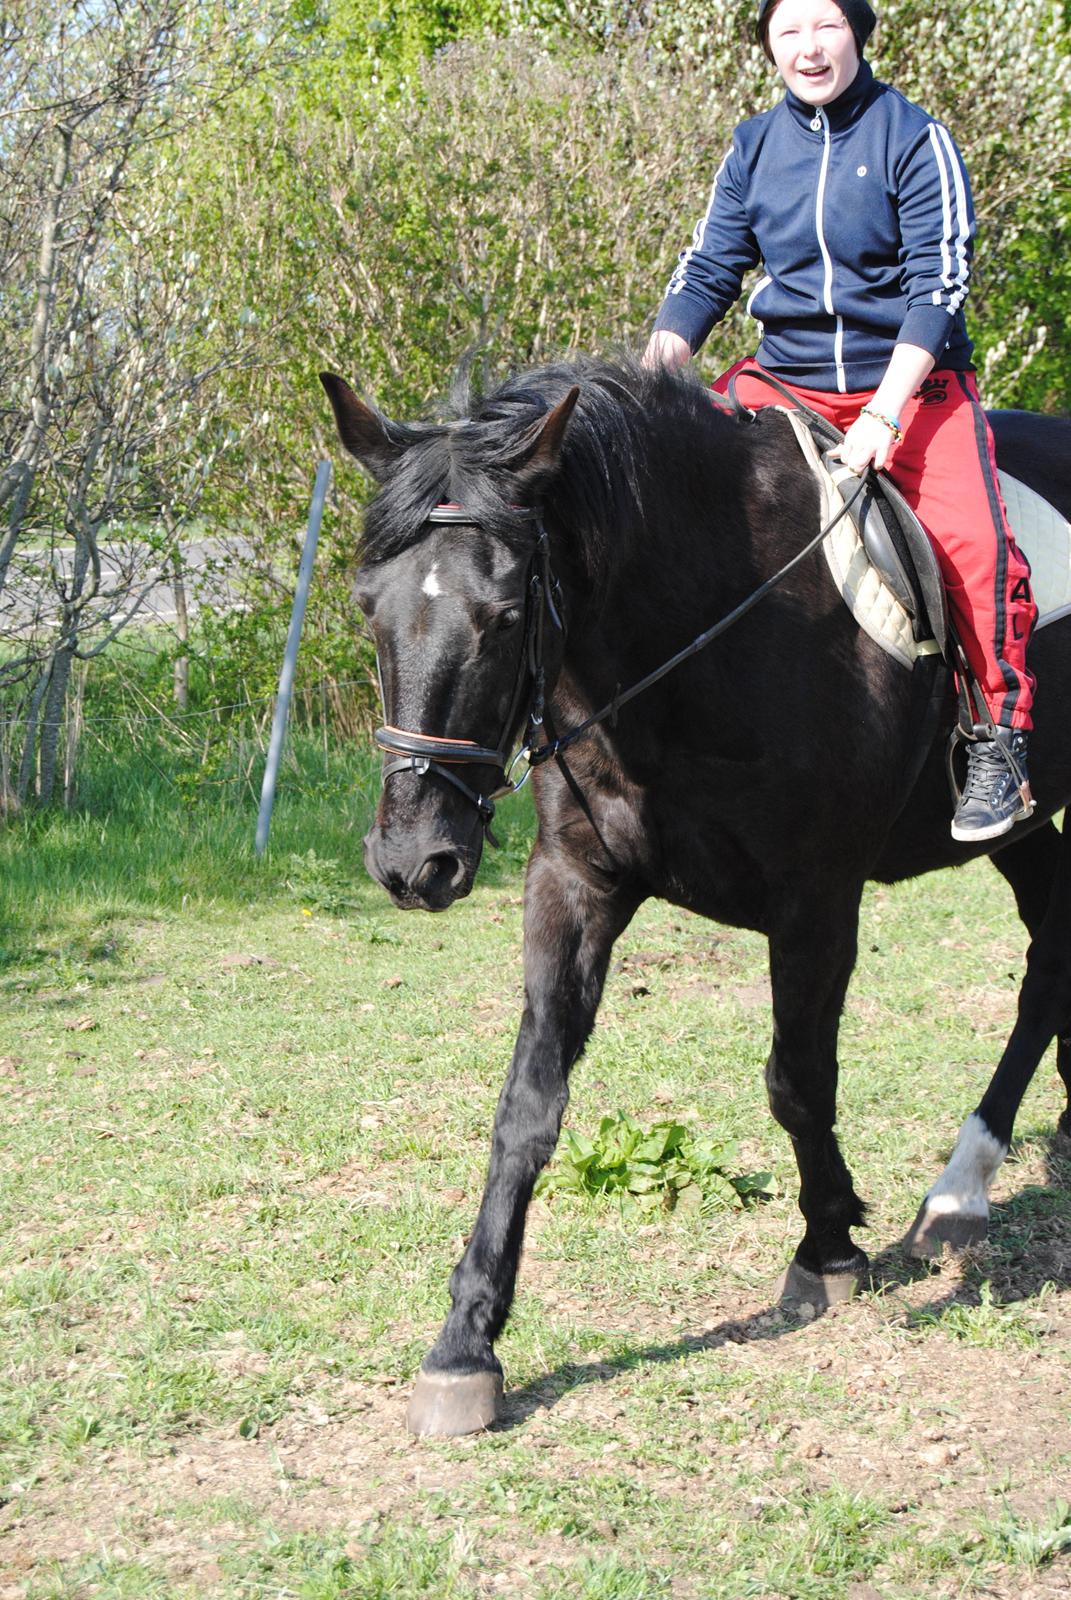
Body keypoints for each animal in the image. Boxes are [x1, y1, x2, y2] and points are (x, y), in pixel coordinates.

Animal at [321, 360, 1069, 1440]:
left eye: (505, 615)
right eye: (367, 605)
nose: (415, 860)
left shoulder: (816, 900)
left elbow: (796, 1080)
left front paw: (827, 1247)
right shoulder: (574, 882)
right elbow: (527, 1106)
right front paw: (467, 1341)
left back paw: (959, 1186)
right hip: (1024, 825)